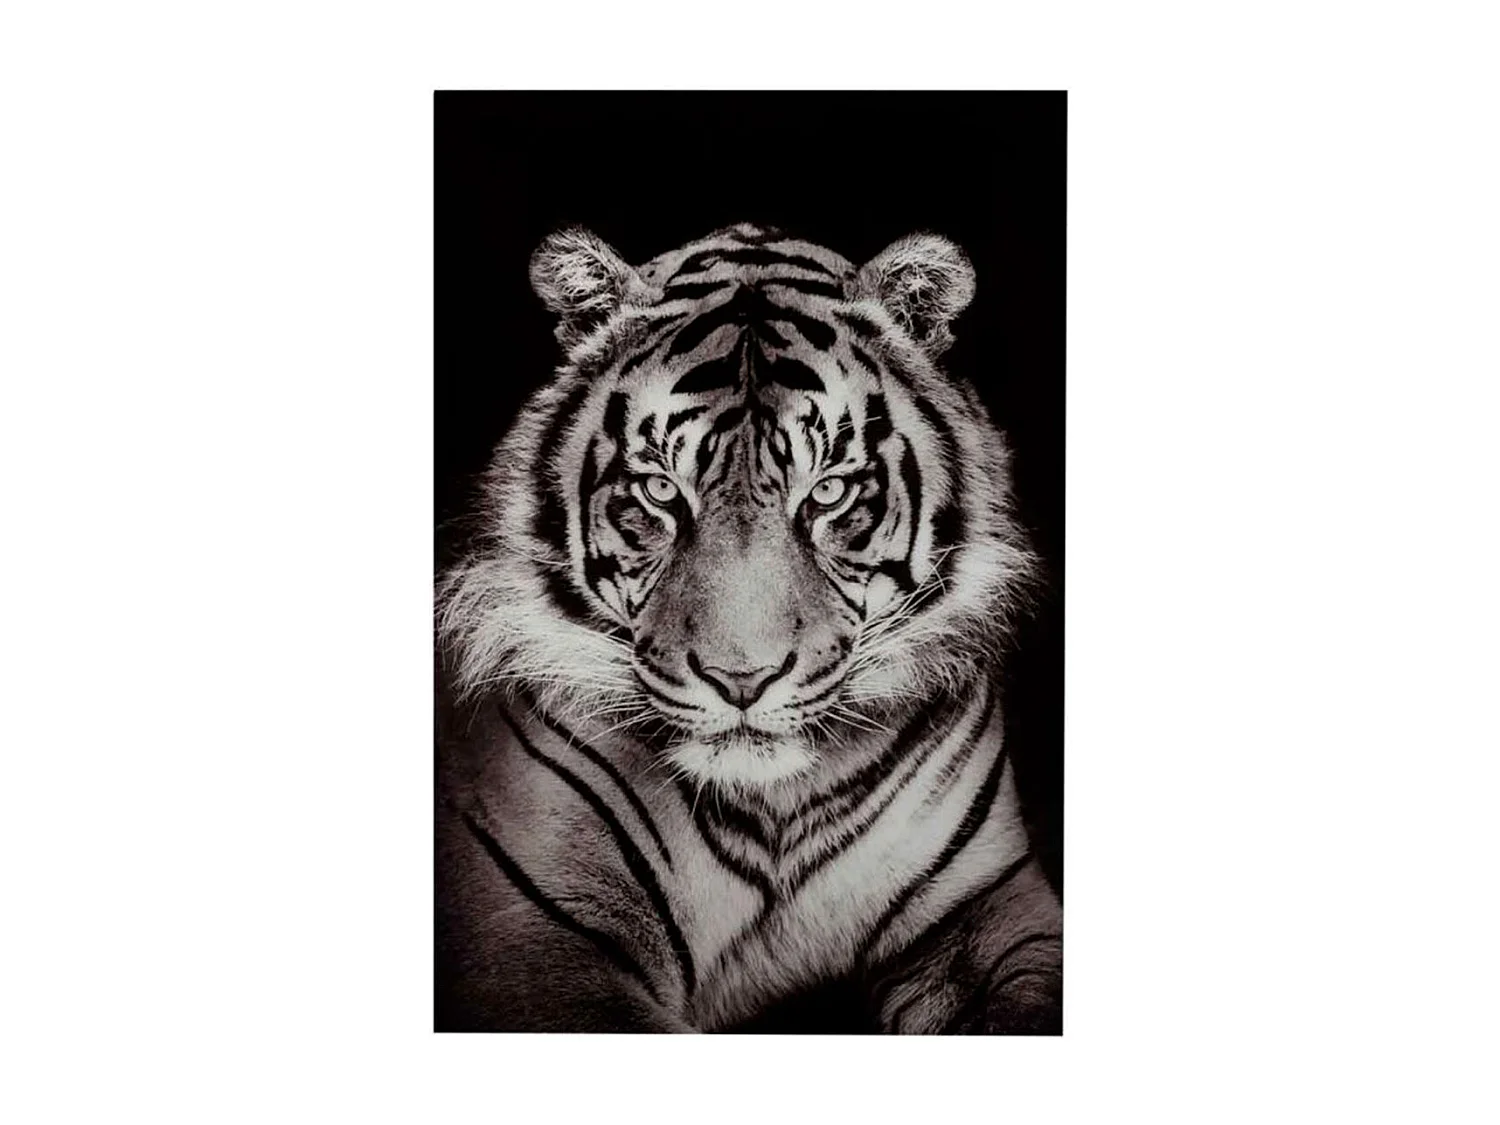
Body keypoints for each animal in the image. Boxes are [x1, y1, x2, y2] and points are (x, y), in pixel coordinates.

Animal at [436, 222, 1061, 1033]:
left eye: (827, 491)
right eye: (660, 490)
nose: (742, 679)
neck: (774, 812)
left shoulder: (996, 905)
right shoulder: (538, 941)